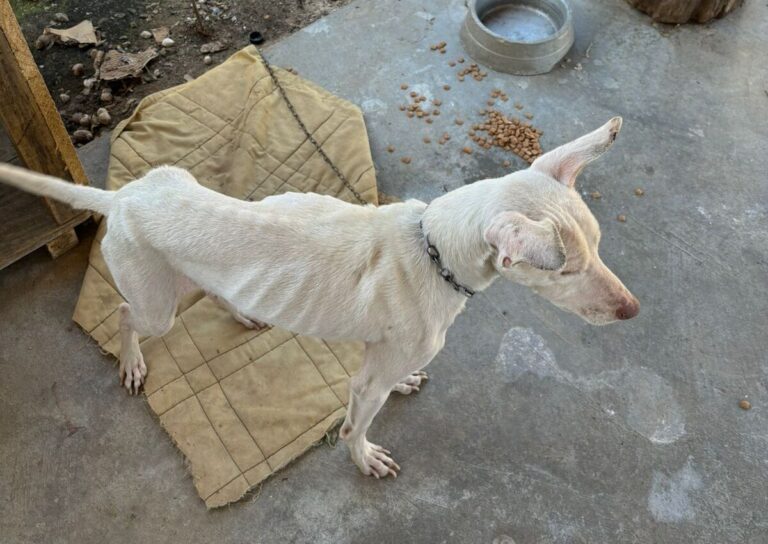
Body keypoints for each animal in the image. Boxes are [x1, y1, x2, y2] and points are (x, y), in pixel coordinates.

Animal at [0, 117, 638, 478]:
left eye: (600, 245)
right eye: (565, 269)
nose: (632, 312)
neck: (432, 246)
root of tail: (124, 197)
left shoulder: (375, 362)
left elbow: (383, 385)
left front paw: (403, 387)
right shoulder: (366, 381)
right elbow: (355, 428)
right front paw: (364, 459)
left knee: (209, 292)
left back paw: (242, 310)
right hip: (155, 307)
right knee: (125, 313)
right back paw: (132, 360)